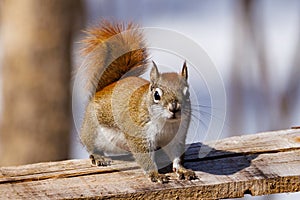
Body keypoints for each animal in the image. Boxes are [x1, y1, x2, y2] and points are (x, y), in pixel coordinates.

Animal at [79, 20, 197, 183]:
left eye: (187, 93)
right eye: (156, 95)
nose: (174, 108)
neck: (166, 124)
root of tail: (102, 90)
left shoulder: (177, 137)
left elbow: (177, 156)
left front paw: (182, 170)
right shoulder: (138, 134)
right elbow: (144, 157)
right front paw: (155, 175)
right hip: (92, 130)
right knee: (89, 145)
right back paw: (98, 156)